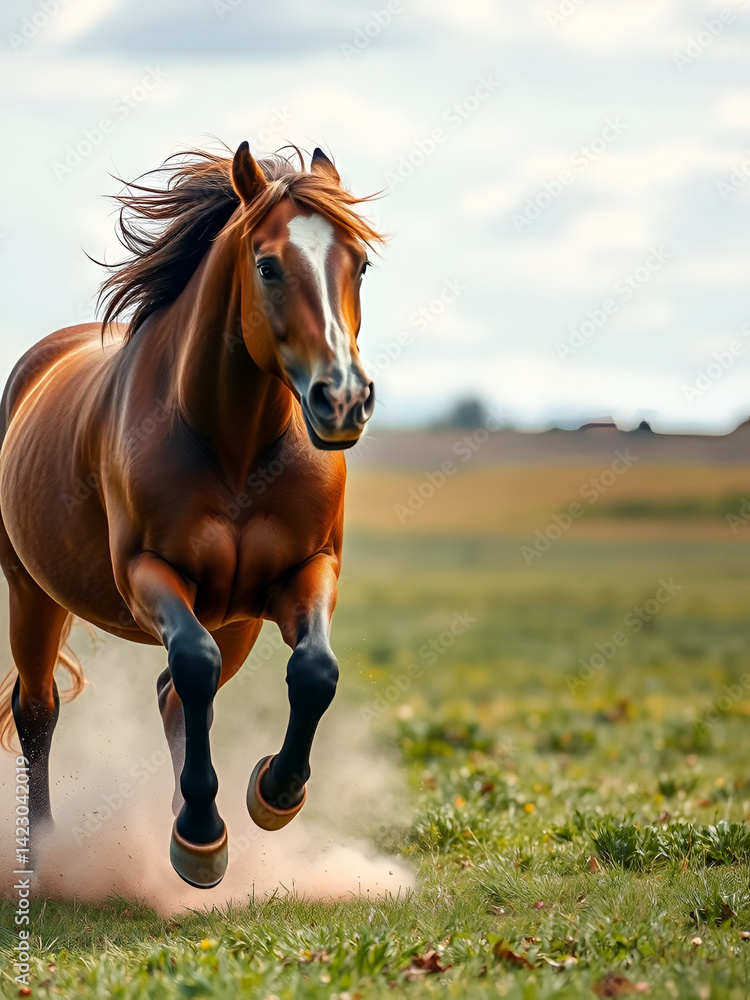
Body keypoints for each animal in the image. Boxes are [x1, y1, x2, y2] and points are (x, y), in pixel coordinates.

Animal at [0, 142, 385, 888]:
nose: (343, 400)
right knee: (38, 710)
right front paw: (202, 835)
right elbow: (193, 663)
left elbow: (314, 672)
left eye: (359, 264)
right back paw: (48, 855)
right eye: (267, 265)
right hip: (32, 592)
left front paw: (273, 793)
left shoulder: (308, 570)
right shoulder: (147, 574)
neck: (235, 451)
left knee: (173, 694)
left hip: (235, 617)